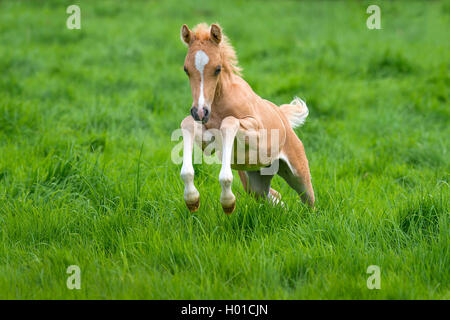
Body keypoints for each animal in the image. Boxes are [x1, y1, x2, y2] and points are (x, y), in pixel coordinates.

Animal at [178, 23, 312, 214]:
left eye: (217, 68)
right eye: (186, 69)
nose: (200, 112)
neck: (219, 104)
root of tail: (282, 115)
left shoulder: (255, 132)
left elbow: (229, 123)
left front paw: (227, 202)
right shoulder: (207, 143)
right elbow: (187, 123)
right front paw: (192, 200)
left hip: (298, 175)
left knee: (309, 201)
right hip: (255, 184)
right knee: (275, 196)